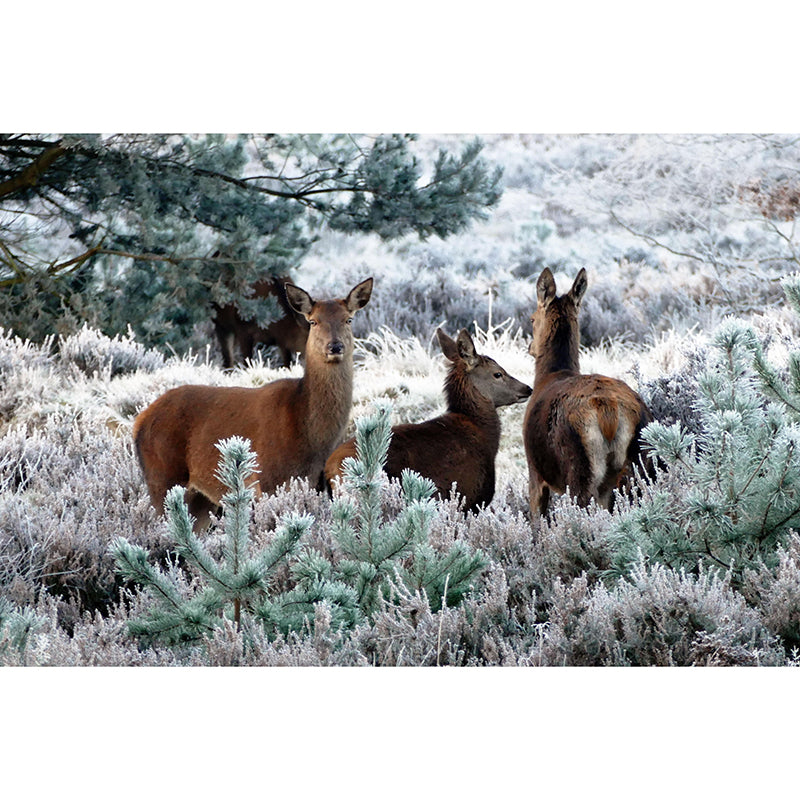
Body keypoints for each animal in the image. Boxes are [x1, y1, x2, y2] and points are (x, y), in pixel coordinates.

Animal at [134, 277, 373, 529]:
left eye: (348, 319)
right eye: (313, 321)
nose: (335, 346)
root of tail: (139, 422)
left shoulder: (314, 484)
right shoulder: (266, 480)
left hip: (200, 498)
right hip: (162, 477)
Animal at [523, 268, 652, 519]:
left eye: (532, 318)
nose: (530, 347)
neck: (549, 375)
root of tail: (609, 413)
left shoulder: (535, 471)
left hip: (579, 467)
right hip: (640, 463)